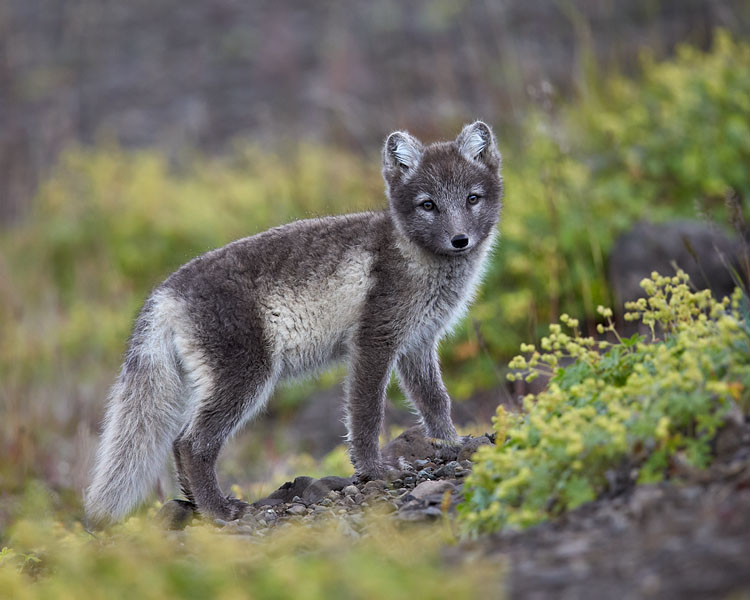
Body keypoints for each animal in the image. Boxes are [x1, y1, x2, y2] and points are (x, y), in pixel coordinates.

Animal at [83, 120, 506, 524]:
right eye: (428, 205)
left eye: (472, 198)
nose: (460, 240)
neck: (412, 256)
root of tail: (165, 293)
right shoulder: (375, 339)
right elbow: (366, 413)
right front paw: (373, 470)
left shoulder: (418, 342)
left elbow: (435, 400)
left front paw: (452, 444)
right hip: (246, 375)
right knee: (191, 442)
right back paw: (219, 511)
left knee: (177, 442)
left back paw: (199, 506)